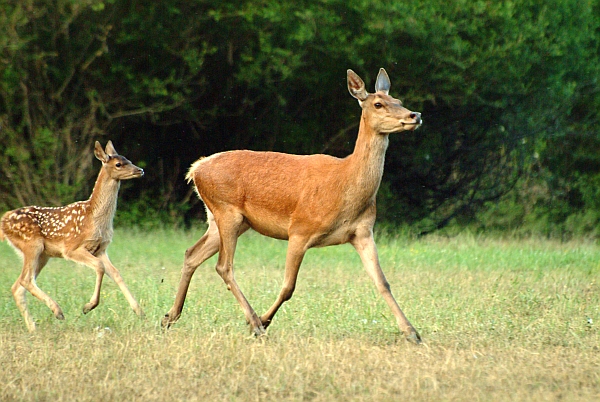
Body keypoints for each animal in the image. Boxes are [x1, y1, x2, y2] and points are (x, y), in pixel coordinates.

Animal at [0, 140, 145, 332]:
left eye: (128, 159)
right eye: (118, 164)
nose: (140, 170)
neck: (94, 217)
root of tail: (3, 221)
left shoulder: (100, 248)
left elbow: (115, 273)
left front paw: (139, 311)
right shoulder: (71, 248)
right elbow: (100, 267)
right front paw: (88, 306)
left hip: (43, 255)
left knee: (17, 286)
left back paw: (33, 328)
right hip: (32, 245)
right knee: (25, 280)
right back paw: (57, 311)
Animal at [161, 68, 422, 342]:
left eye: (399, 100)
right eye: (378, 103)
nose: (415, 115)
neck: (345, 186)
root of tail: (196, 169)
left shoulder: (362, 232)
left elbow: (383, 282)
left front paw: (412, 332)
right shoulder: (300, 229)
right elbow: (288, 286)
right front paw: (264, 321)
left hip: (225, 220)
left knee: (192, 254)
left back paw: (169, 317)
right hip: (226, 210)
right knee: (224, 266)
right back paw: (254, 322)